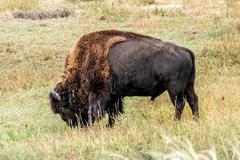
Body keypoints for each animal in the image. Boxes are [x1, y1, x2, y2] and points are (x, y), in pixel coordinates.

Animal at [49, 30, 199, 127]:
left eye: (62, 108)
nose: (72, 125)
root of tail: (184, 50)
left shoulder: (101, 95)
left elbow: (99, 111)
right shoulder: (115, 95)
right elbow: (114, 112)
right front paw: (109, 126)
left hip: (174, 89)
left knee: (180, 104)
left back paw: (175, 122)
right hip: (189, 86)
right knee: (193, 100)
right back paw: (195, 120)